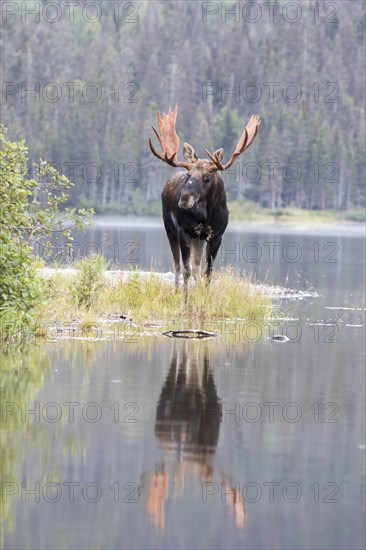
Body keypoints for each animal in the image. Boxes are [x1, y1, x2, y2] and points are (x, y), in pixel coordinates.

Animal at [149, 105, 260, 292]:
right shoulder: (184, 231)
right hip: (170, 228)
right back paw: (176, 291)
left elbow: (208, 273)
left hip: (198, 239)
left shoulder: (216, 235)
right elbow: (186, 270)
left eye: (207, 177)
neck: (205, 216)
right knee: (178, 265)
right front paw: (185, 298)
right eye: (188, 175)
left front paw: (205, 295)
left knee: (196, 268)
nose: (184, 199)